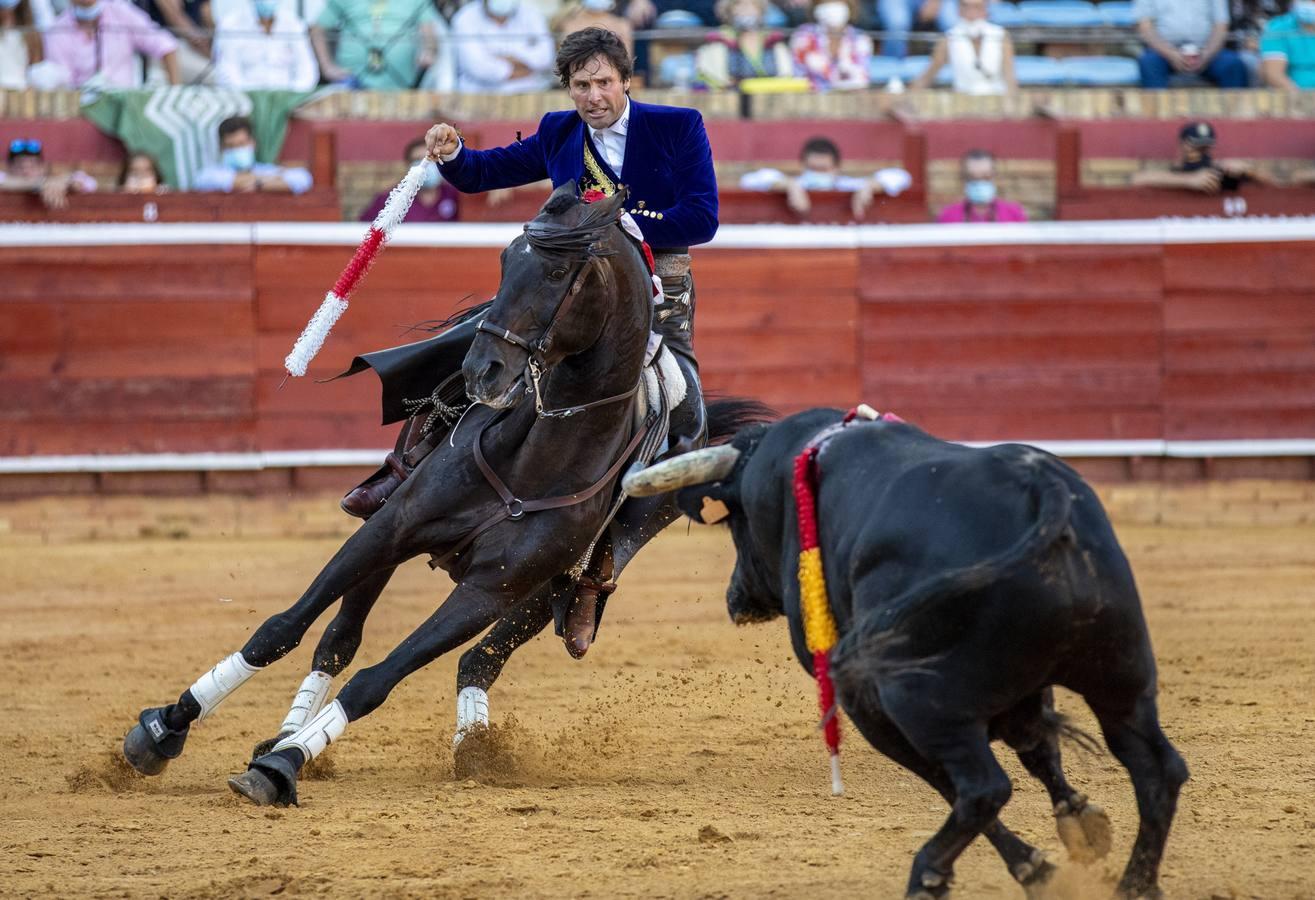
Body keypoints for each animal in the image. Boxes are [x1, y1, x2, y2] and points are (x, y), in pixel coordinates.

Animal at [120, 186, 767, 805]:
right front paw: (164, 729)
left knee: (476, 658)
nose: (483, 369)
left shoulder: (491, 589)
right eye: (506, 260)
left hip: (548, 594)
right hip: (389, 519)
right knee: (339, 638)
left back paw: (465, 750)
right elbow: (282, 628)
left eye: (559, 272)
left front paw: (283, 768)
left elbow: (379, 679)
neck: (540, 454)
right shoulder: (394, 527)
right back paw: (285, 730)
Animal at [628, 407, 1194, 900]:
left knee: (982, 788)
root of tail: (1042, 491)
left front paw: (1036, 865)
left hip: (911, 698)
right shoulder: (1027, 694)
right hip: (1120, 672)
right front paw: (1081, 824)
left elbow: (948, 782)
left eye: (735, 524)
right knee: (1157, 768)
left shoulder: (871, 705)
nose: (734, 598)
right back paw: (1135, 885)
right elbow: (1040, 751)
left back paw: (934, 873)